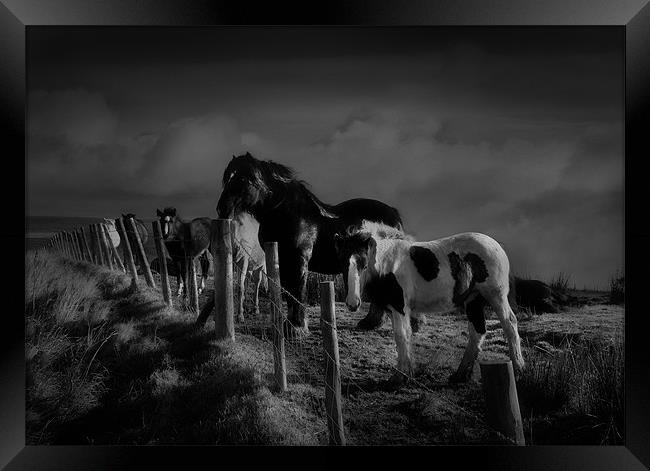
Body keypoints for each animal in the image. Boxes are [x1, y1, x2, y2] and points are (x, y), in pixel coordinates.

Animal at [215, 153, 402, 334]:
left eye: (243, 178)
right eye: (227, 177)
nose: (223, 208)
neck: (289, 215)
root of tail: (394, 215)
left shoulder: (298, 260)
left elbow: (298, 290)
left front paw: (297, 327)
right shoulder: (283, 261)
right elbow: (289, 292)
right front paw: (289, 324)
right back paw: (370, 323)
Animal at [332, 221, 524, 384]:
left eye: (364, 265)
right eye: (341, 263)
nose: (353, 303)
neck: (389, 264)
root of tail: (497, 246)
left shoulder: (400, 307)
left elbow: (401, 335)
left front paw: (399, 378)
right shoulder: (394, 308)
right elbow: (403, 336)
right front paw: (406, 374)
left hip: (496, 296)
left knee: (509, 324)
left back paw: (519, 370)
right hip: (473, 299)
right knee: (477, 331)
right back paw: (459, 376)